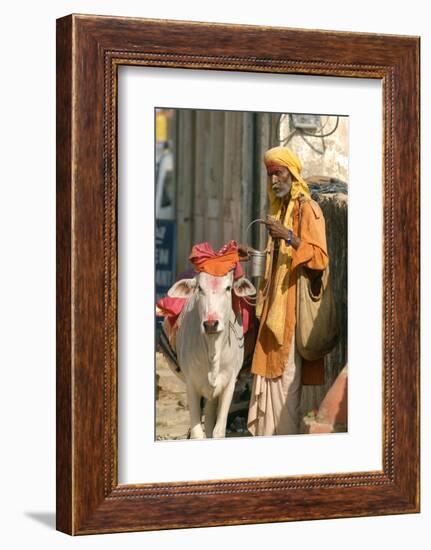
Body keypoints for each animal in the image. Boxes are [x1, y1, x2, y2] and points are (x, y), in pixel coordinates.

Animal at [168, 272, 256, 440]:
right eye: (199, 288)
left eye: (228, 288)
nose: (210, 324)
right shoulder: (191, 384)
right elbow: (197, 433)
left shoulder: (229, 384)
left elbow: (218, 431)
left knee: (209, 420)